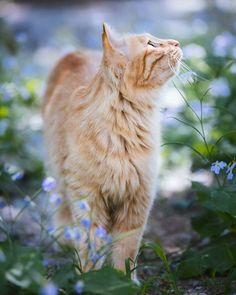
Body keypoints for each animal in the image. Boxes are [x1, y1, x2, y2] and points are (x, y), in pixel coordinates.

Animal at [42, 23, 183, 280]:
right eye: (151, 44)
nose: (177, 42)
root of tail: (75, 52)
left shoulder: (137, 199)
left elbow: (126, 250)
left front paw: (124, 279)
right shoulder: (87, 198)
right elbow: (89, 246)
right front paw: (89, 279)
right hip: (58, 173)